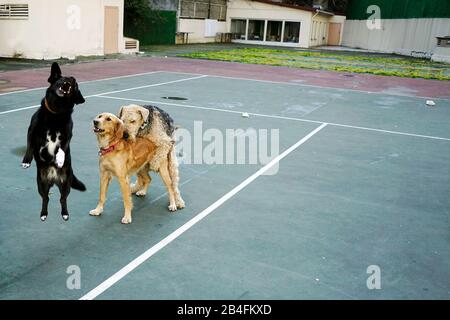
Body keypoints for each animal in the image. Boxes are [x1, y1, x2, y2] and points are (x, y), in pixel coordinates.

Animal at [21, 63, 86, 221]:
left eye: (75, 85)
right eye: (61, 78)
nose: (72, 78)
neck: (56, 112)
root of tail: (53, 179)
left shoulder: (68, 135)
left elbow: (62, 148)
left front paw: (60, 159)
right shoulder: (31, 130)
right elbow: (30, 146)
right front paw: (26, 161)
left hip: (66, 185)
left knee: (62, 199)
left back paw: (65, 213)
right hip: (41, 184)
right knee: (46, 199)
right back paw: (43, 214)